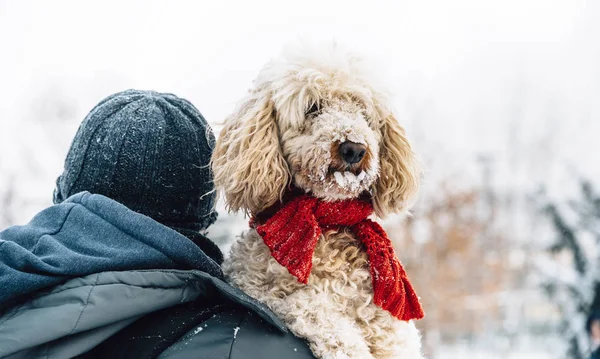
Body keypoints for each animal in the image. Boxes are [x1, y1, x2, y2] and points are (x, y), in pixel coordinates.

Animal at [213, 43, 424, 359]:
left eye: (363, 111)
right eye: (313, 107)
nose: (354, 148)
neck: (329, 220)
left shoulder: (389, 327)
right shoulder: (267, 292)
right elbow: (320, 314)